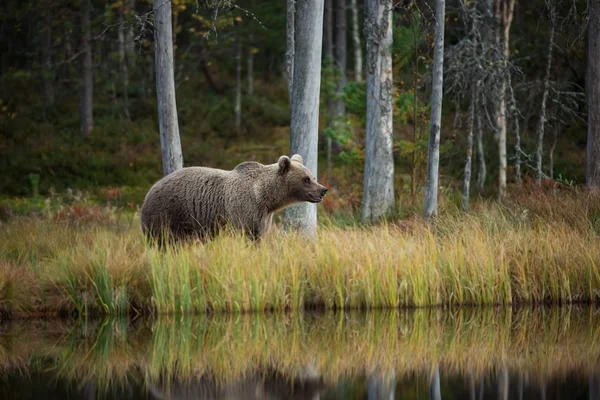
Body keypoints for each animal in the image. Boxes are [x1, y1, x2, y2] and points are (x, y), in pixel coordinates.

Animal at [141, 155, 328, 244]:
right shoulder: (244, 209)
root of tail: (150, 189)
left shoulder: (263, 217)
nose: (323, 190)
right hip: (166, 214)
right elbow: (247, 235)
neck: (265, 197)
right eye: (306, 179)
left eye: (312, 176)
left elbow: (259, 236)